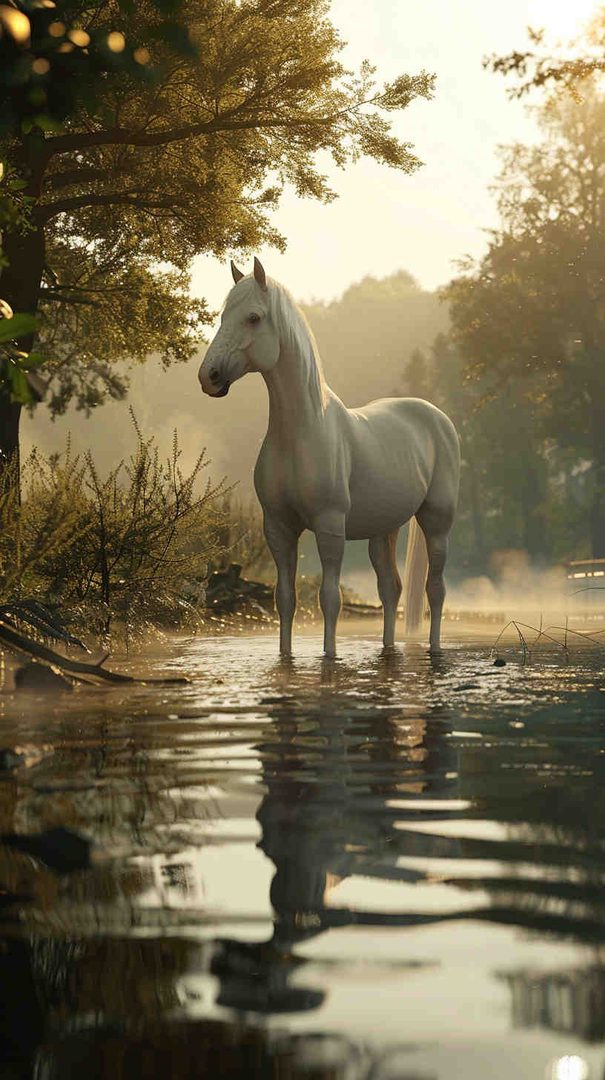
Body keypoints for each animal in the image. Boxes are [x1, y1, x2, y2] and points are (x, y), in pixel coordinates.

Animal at [199, 258, 460, 657]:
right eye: (223, 315)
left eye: (254, 317)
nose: (209, 376)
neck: (300, 433)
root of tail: (437, 418)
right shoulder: (278, 528)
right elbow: (285, 598)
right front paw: (286, 655)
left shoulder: (329, 527)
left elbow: (329, 598)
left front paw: (330, 654)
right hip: (384, 529)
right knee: (391, 589)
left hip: (436, 523)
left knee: (436, 589)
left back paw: (434, 647)